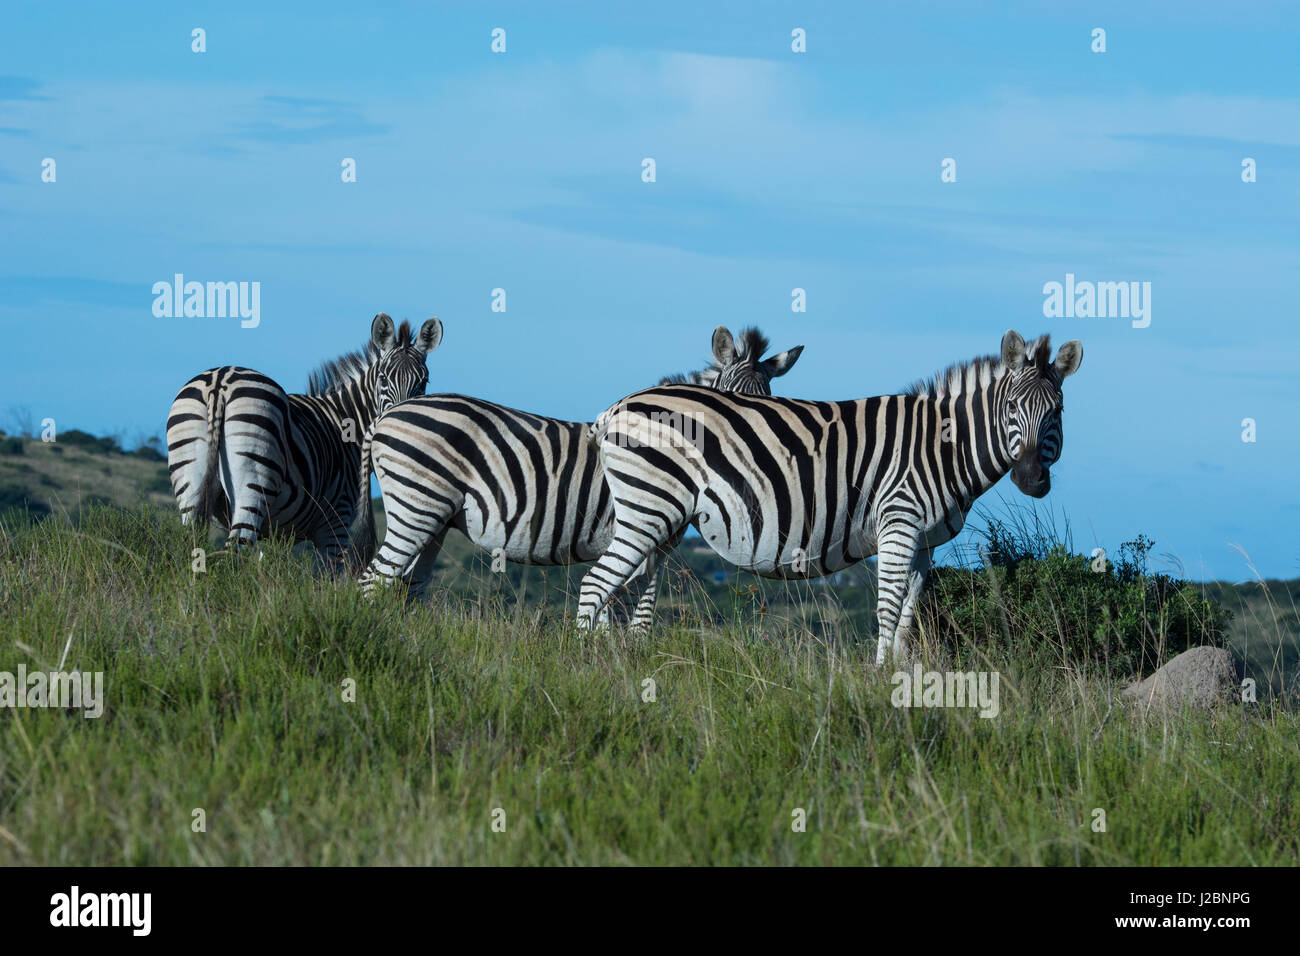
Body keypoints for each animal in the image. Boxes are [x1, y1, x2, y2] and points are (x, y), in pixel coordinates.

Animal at [167, 314, 444, 567]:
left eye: (424, 382)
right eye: (383, 378)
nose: (402, 424)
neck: (345, 420)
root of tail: (221, 382)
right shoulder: (335, 521)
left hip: (190, 481)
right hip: (252, 482)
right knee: (234, 551)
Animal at [356, 329, 800, 629]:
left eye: (770, 403)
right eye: (732, 403)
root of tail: (388, 415)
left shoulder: (648, 543)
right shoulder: (640, 536)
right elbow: (628, 611)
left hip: (433, 519)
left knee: (405, 585)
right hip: (415, 507)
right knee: (372, 581)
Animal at [574, 325, 1081, 660]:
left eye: (1057, 411)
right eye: (1012, 407)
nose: (1031, 479)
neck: (942, 446)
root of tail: (615, 407)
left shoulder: (925, 542)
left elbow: (908, 616)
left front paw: (901, 677)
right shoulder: (898, 523)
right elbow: (887, 608)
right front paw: (880, 683)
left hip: (659, 517)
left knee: (629, 589)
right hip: (648, 510)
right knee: (595, 585)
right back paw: (588, 669)